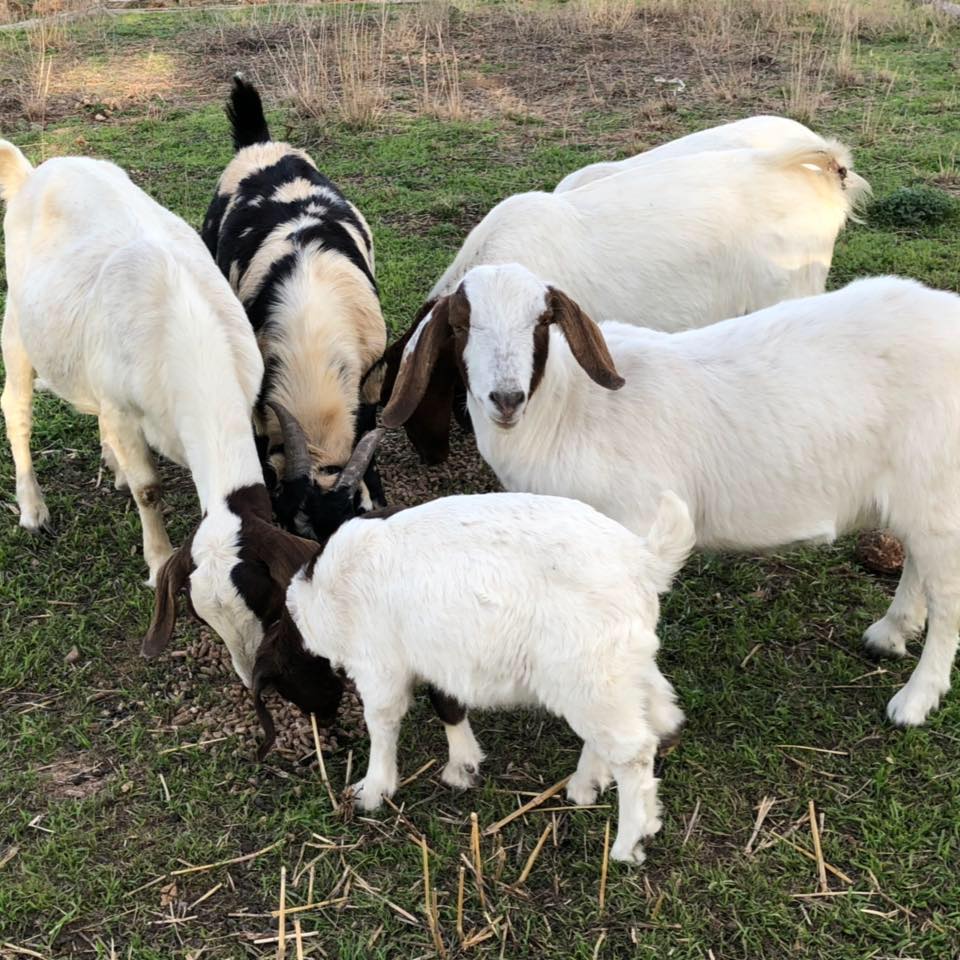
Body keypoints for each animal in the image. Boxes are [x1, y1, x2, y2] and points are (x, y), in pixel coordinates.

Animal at [281, 489, 693, 864]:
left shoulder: (379, 664)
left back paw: (629, 842)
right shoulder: (438, 656)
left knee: (632, 750)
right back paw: (594, 783)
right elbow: (446, 701)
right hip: (614, 665)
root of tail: (643, 559)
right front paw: (462, 766)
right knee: (654, 708)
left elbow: (383, 722)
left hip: (589, 673)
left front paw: (372, 790)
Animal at [383, 262, 960, 728]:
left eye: (541, 323)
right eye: (460, 325)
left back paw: (914, 702)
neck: (567, 410)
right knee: (919, 564)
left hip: (938, 488)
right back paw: (890, 632)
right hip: (922, 497)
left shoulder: (635, 529)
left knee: (948, 598)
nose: (506, 398)